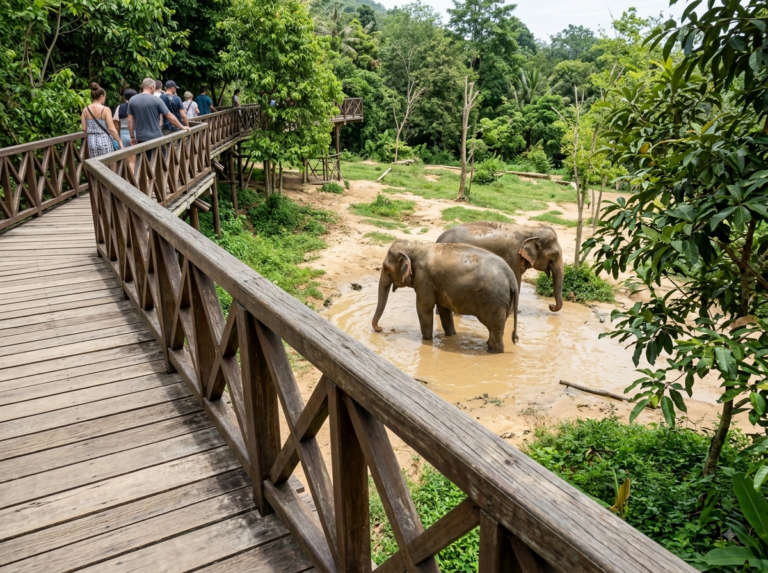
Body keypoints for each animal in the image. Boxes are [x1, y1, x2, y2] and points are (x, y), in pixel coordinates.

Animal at [371, 240, 519, 353]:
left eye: (386, 268)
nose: (380, 328)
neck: (416, 246)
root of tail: (512, 278)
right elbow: (444, 311)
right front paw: (451, 336)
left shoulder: (424, 279)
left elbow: (423, 308)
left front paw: (427, 340)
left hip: (494, 301)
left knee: (494, 328)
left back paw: (493, 352)